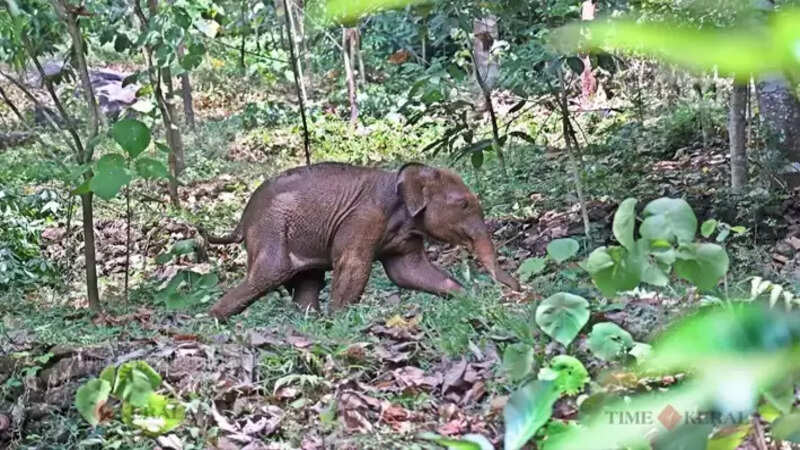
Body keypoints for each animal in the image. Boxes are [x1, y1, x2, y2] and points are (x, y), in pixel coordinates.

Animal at [201, 162, 520, 319]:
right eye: (464, 204)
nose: (517, 291)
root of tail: (243, 218)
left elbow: (409, 272)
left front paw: (466, 297)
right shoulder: (363, 218)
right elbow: (354, 265)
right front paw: (340, 322)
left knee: (307, 282)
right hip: (271, 229)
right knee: (268, 275)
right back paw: (214, 320)